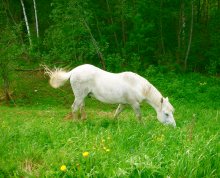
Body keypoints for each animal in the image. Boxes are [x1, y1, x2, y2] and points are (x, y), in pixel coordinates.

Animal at [44, 64, 175, 126]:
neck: (137, 85)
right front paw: (142, 126)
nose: (174, 127)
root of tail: (74, 71)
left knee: (82, 106)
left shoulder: (123, 103)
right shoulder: (134, 104)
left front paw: (112, 122)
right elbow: (139, 116)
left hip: (83, 96)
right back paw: (76, 123)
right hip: (79, 95)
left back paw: (84, 119)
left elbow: (117, 112)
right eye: (166, 114)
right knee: (75, 108)